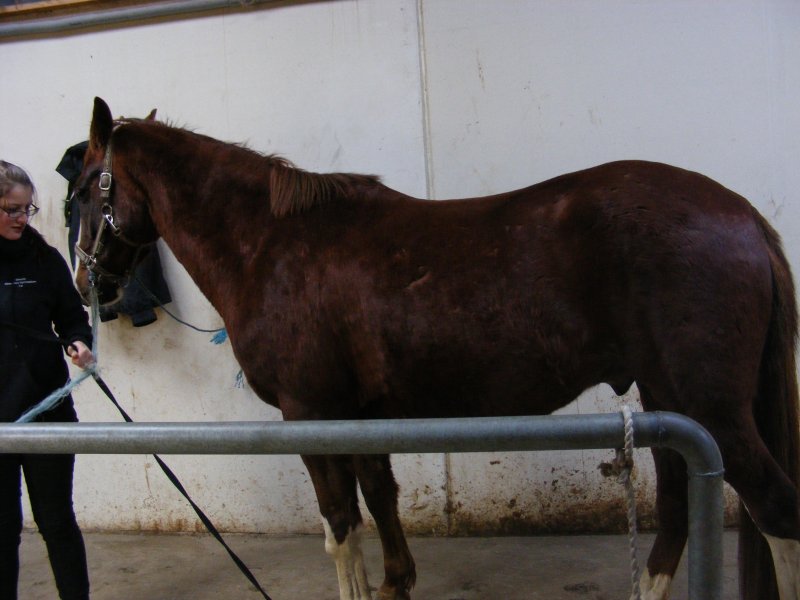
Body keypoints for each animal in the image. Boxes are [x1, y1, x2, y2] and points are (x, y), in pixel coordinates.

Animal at [72, 97, 799, 600]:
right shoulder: (359, 416)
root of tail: (741, 215)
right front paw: (396, 583)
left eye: (81, 189)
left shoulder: (310, 414)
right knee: (676, 509)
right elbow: (380, 497)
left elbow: (339, 524)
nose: (88, 282)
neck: (269, 247)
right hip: (669, 398)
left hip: (712, 410)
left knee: (775, 510)